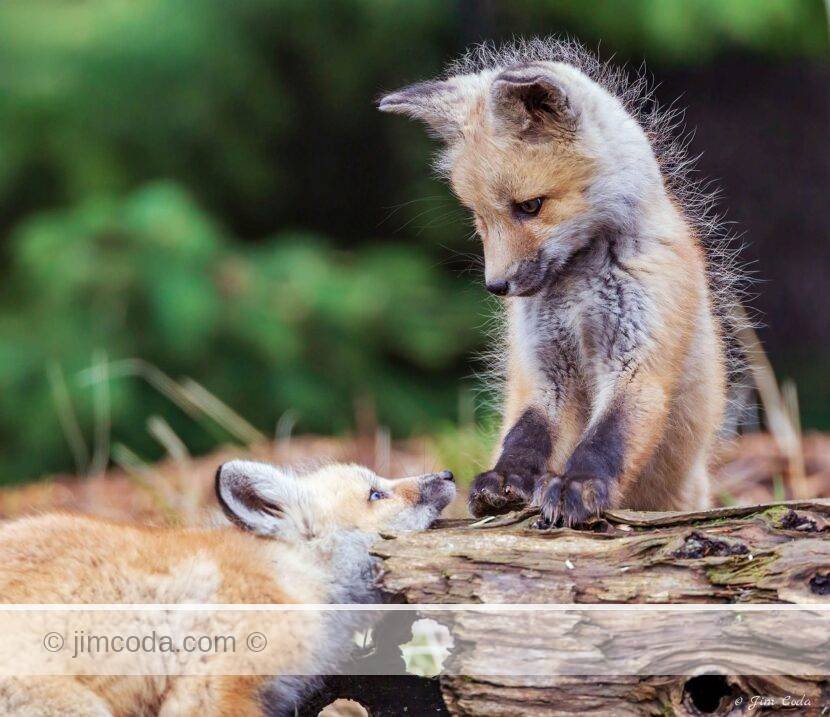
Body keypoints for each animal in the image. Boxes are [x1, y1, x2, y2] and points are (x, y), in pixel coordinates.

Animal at [379, 38, 746, 527]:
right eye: (479, 217)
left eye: (530, 206)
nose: (496, 287)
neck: (578, 291)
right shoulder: (546, 372)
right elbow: (525, 436)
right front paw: (505, 480)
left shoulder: (637, 364)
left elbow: (606, 439)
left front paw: (578, 485)